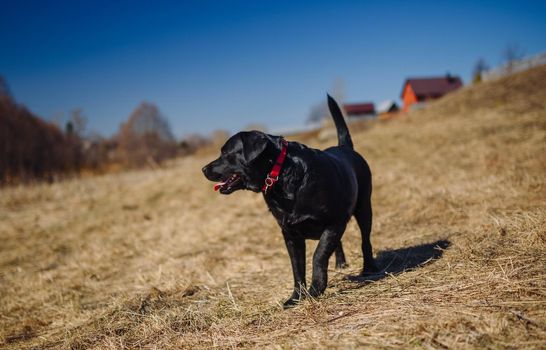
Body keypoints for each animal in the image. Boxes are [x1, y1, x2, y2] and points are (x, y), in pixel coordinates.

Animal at [202, 95, 376, 306]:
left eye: (226, 153)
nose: (204, 169)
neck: (282, 175)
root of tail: (345, 147)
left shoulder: (334, 222)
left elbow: (318, 255)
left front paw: (317, 288)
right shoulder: (290, 234)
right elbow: (297, 268)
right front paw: (296, 298)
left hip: (364, 208)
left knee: (365, 240)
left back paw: (369, 268)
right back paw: (340, 263)